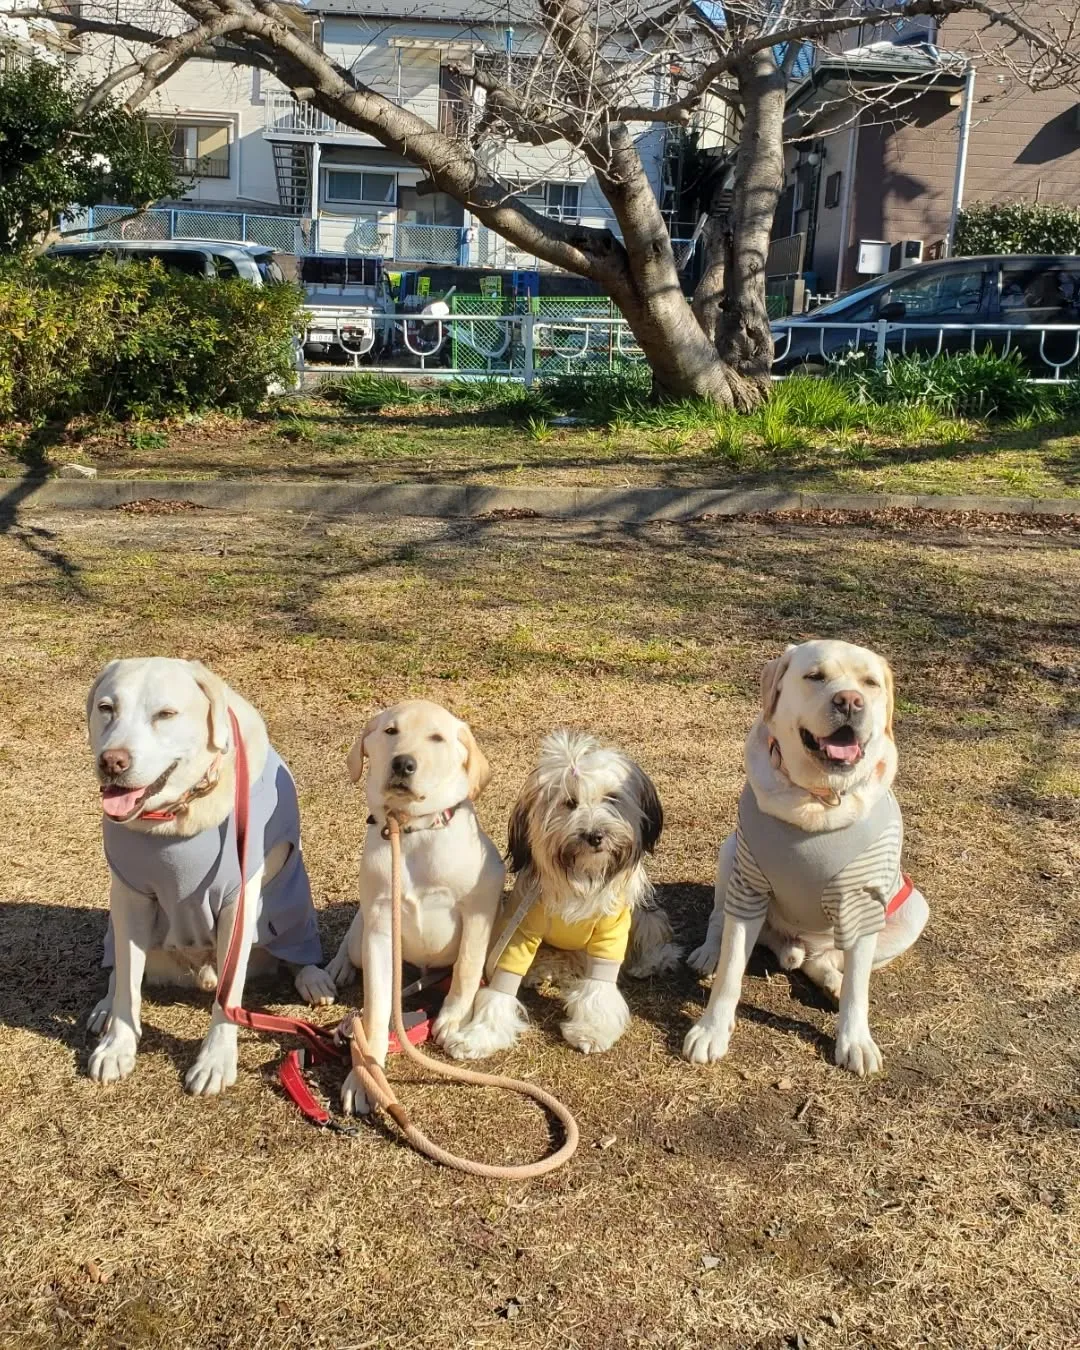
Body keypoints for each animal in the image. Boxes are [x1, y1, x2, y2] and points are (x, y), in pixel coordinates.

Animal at [85, 661, 333, 1096]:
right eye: (106, 708)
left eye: (166, 714)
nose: (112, 762)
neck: (177, 815)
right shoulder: (130, 896)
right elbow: (128, 981)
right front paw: (118, 1046)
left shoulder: (240, 898)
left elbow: (229, 992)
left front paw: (215, 1060)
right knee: (118, 967)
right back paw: (105, 1009)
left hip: (291, 903)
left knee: (295, 950)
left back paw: (313, 978)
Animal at [325, 702, 507, 1112]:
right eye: (390, 731)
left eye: (436, 738)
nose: (403, 764)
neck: (412, 830)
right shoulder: (379, 927)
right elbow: (376, 1009)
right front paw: (366, 1078)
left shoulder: (480, 905)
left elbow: (467, 969)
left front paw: (452, 1019)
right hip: (361, 933)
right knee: (351, 943)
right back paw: (336, 969)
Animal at [442, 723, 680, 1058]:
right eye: (569, 802)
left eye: (612, 798)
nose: (595, 836)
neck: (580, 877)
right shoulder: (521, 932)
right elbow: (502, 986)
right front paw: (478, 1036)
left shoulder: (611, 931)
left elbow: (600, 983)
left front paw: (592, 1029)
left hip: (640, 915)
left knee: (653, 930)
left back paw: (651, 962)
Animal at [683, 639, 928, 1074]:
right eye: (814, 676)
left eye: (870, 683)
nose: (850, 700)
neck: (817, 800)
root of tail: (794, 946)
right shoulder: (749, 886)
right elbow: (730, 971)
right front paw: (711, 1030)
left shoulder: (863, 900)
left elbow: (858, 989)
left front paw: (855, 1040)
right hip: (729, 853)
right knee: (718, 922)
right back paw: (709, 953)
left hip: (912, 909)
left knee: (829, 963)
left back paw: (831, 982)